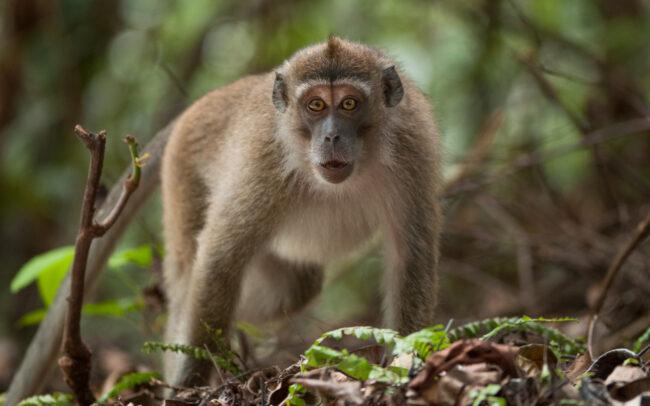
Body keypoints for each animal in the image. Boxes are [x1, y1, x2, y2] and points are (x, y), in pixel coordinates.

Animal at [6, 36, 440, 403]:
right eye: (316, 105)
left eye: (349, 104)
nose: (331, 136)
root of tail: (203, 103)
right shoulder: (263, 161)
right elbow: (220, 258)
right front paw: (191, 385)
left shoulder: (413, 146)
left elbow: (410, 258)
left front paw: (404, 365)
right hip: (184, 171)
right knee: (192, 279)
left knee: (294, 289)